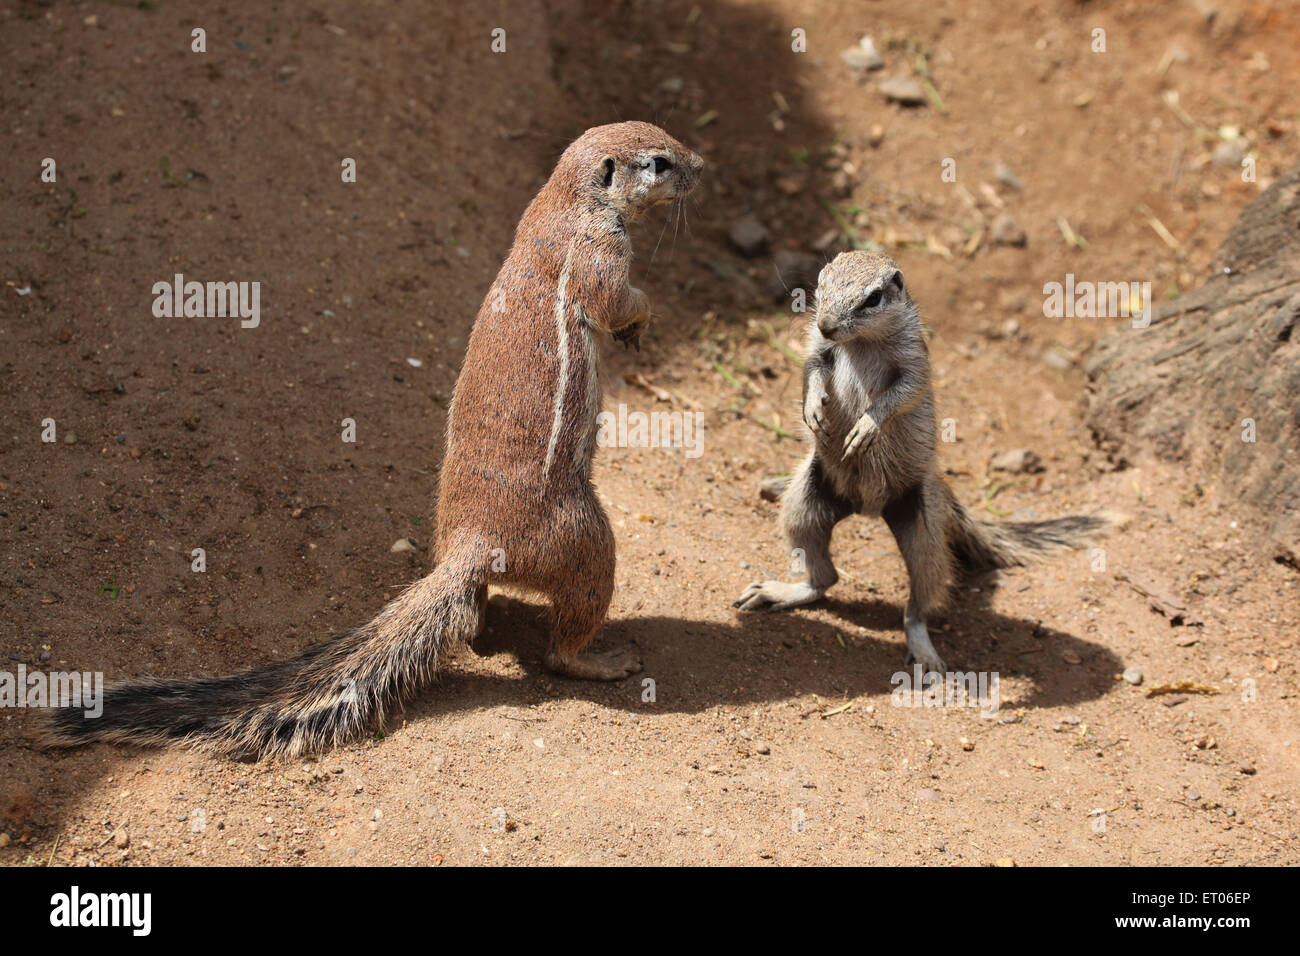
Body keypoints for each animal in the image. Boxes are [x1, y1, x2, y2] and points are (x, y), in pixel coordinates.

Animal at [48, 121, 702, 764]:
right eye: (660, 161)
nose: (701, 166)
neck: (563, 201)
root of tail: (469, 545)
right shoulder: (599, 256)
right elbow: (619, 299)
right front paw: (640, 321)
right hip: (586, 538)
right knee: (560, 645)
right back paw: (606, 659)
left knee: (473, 615)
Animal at [733, 252, 1118, 671]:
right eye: (820, 282)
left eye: (873, 299)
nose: (827, 325)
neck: (860, 342)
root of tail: (866, 509)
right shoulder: (819, 349)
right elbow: (812, 370)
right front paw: (814, 411)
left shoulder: (914, 358)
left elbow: (904, 392)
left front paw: (867, 425)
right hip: (805, 501)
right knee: (824, 577)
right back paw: (783, 591)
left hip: (924, 527)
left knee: (919, 599)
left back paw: (924, 650)